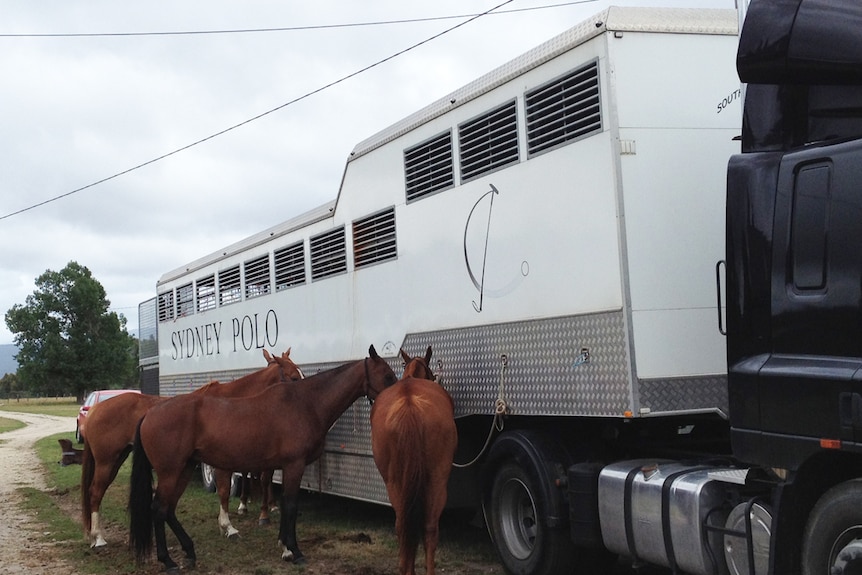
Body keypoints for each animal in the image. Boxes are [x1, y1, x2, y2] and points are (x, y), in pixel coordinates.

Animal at [80, 348, 304, 548]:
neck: (232, 401)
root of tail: (95, 410)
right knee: (95, 492)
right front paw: (228, 526)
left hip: (115, 460)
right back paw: (98, 538)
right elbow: (224, 491)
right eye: (294, 377)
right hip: (107, 461)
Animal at [130, 344, 400, 572]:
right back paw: (168, 561)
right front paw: (294, 551)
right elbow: (290, 505)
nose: (397, 399)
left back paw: (189, 551)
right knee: (159, 508)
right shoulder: (294, 466)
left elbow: (283, 503)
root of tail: (150, 413)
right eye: (388, 375)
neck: (306, 404)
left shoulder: (283, 467)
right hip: (171, 472)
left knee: (168, 509)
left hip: (184, 469)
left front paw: (284, 546)